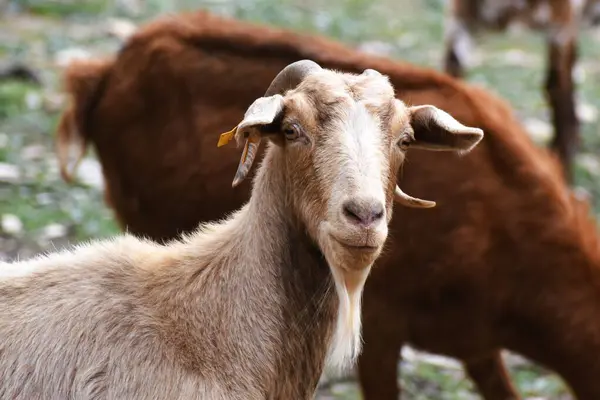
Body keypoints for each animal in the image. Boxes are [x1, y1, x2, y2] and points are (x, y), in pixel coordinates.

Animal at [57, 10, 600, 400]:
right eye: (291, 129)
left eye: (406, 139)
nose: (364, 215)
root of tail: (107, 70)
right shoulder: (381, 328)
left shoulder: (476, 344)